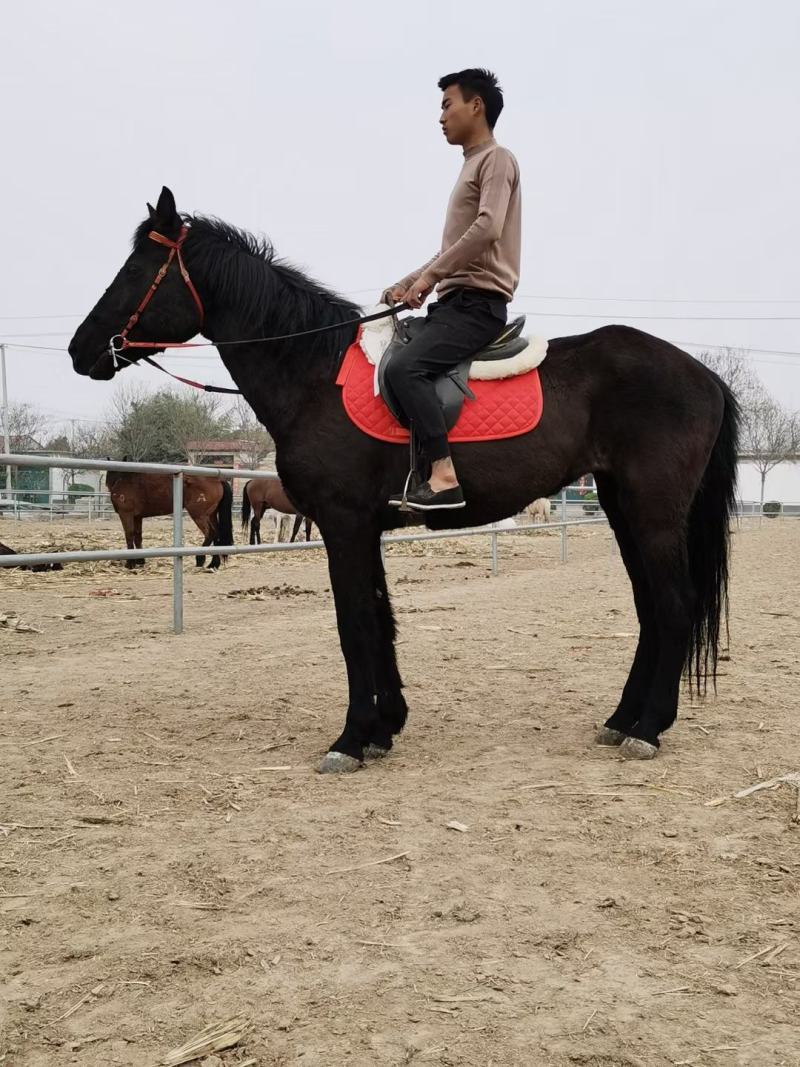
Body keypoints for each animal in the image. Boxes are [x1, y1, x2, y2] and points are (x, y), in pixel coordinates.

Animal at [105, 470, 233, 570]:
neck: (123, 479)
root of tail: (218, 480)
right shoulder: (137, 517)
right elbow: (138, 536)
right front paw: (140, 561)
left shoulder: (126, 514)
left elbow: (129, 535)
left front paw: (130, 563)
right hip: (211, 515)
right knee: (217, 535)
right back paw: (213, 564)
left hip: (199, 515)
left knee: (210, 533)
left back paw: (200, 559)